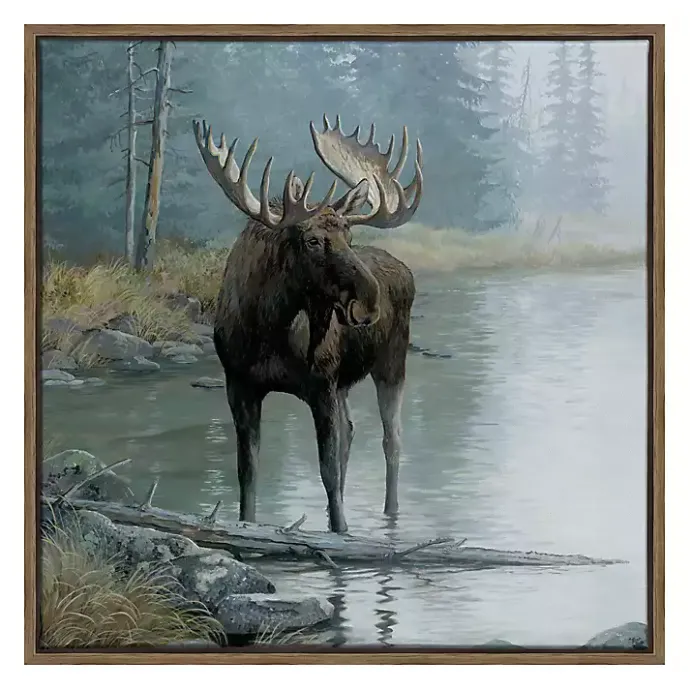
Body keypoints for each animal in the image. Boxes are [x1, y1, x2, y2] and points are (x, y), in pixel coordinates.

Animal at [193, 115, 423, 533]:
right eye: (313, 240)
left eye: (349, 234)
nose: (370, 300)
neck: (268, 330)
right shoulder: (240, 383)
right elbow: (247, 471)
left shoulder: (322, 383)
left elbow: (327, 470)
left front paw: (341, 530)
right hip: (348, 381)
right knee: (352, 432)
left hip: (392, 362)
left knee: (392, 440)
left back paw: (390, 513)